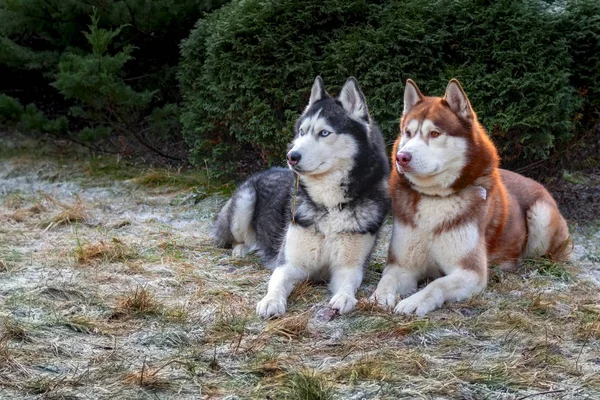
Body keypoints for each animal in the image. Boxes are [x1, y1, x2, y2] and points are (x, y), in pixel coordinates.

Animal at [213, 76, 392, 318]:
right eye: (301, 132)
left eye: (324, 133)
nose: (291, 156)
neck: (329, 205)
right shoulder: (288, 263)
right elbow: (276, 283)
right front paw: (271, 301)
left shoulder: (349, 266)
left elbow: (348, 283)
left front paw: (344, 297)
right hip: (244, 201)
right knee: (238, 237)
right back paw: (242, 248)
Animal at [370, 78, 572, 316]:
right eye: (408, 133)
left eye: (434, 133)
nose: (401, 157)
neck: (435, 197)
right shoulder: (401, 265)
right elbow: (386, 280)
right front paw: (379, 296)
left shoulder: (470, 271)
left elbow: (436, 284)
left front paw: (414, 301)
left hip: (541, 215)